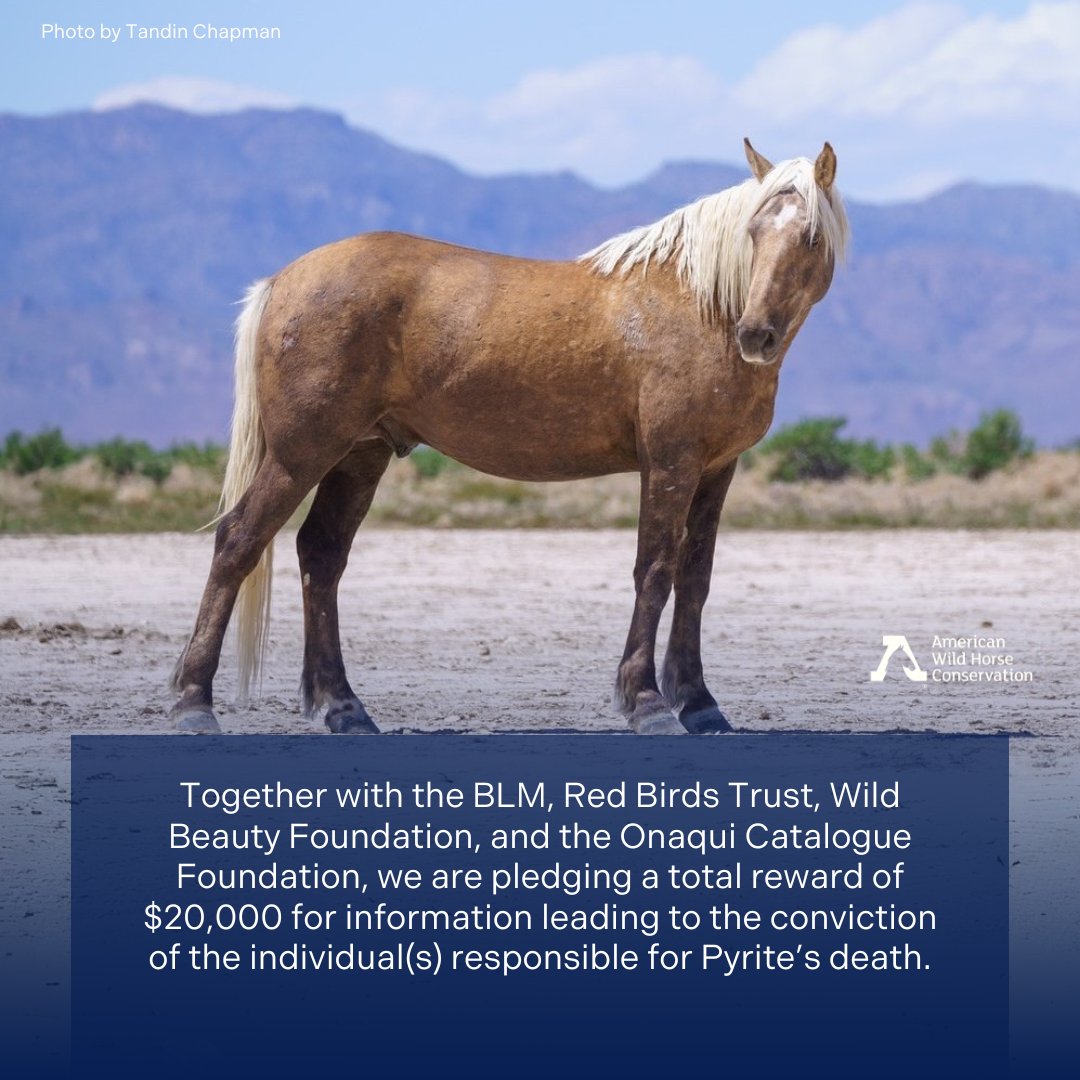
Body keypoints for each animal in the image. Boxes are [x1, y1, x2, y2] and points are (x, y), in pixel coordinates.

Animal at [169, 139, 849, 736]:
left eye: (810, 237)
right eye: (754, 232)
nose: (755, 334)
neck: (701, 305)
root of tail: (282, 282)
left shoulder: (715, 469)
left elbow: (695, 580)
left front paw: (701, 705)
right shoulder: (670, 464)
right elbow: (655, 570)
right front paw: (648, 702)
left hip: (359, 455)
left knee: (322, 556)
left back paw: (343, 708)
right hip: (301, 453)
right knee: (238, 542)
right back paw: (193, 703)